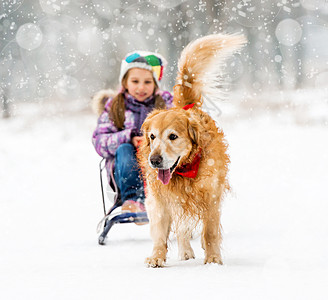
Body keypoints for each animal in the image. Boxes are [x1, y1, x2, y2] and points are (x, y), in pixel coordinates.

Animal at [137, 33, 245, 268]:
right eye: (152, 136)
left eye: (173, 136)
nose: (154, 160)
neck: (184, 172)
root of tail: (185, 106)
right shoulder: (161, 199)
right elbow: (161, 232)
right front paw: (157, 257)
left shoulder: (211, 197)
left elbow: (211, 231)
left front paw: (213, 259)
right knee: (182, 229)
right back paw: (185, 251)